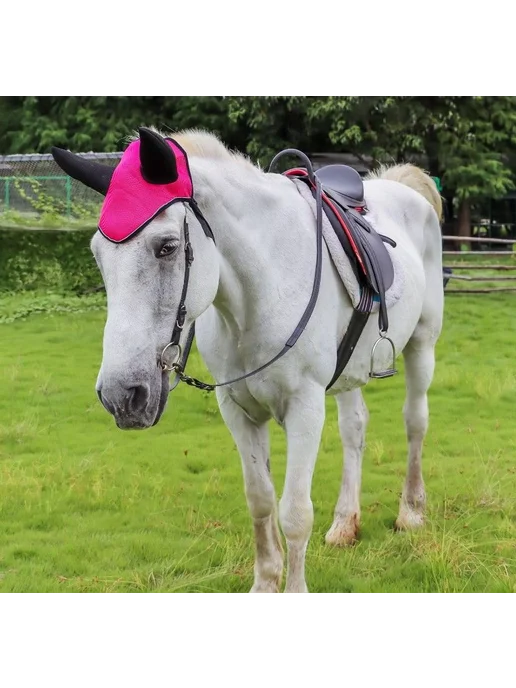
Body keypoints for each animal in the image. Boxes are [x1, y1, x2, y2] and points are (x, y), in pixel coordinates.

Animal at [51, 127, 444, 595]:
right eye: (97, 255)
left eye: (167, 247)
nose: (121, 395)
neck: (260, 292)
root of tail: (403, 187)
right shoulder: (238, 409)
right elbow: (260, 502)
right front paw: (264, 587)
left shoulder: (305, 408)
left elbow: (295, 512)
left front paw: (294, 594)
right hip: (350, 371)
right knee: (355, 429)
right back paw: (345, 524)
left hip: (422, 345)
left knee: (416, 422)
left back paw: (412, 511)